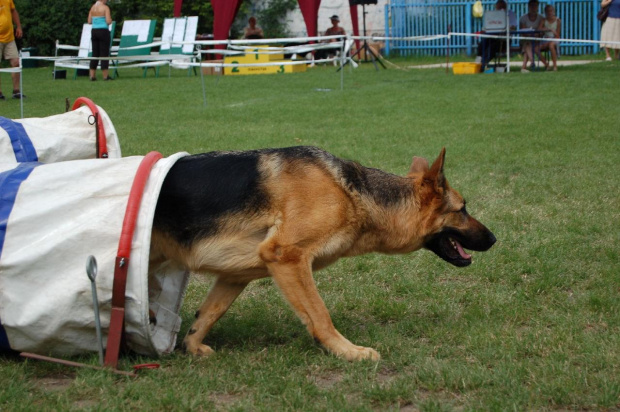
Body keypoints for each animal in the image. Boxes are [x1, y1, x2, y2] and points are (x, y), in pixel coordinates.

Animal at [153, 146, 496, 358]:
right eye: (463, 209)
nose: (494, 239)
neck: (352, 193)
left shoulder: (236, 275)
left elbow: (210, 312)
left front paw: (191, 345)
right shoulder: (288, 257)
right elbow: (320, 314)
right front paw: (347, 351)